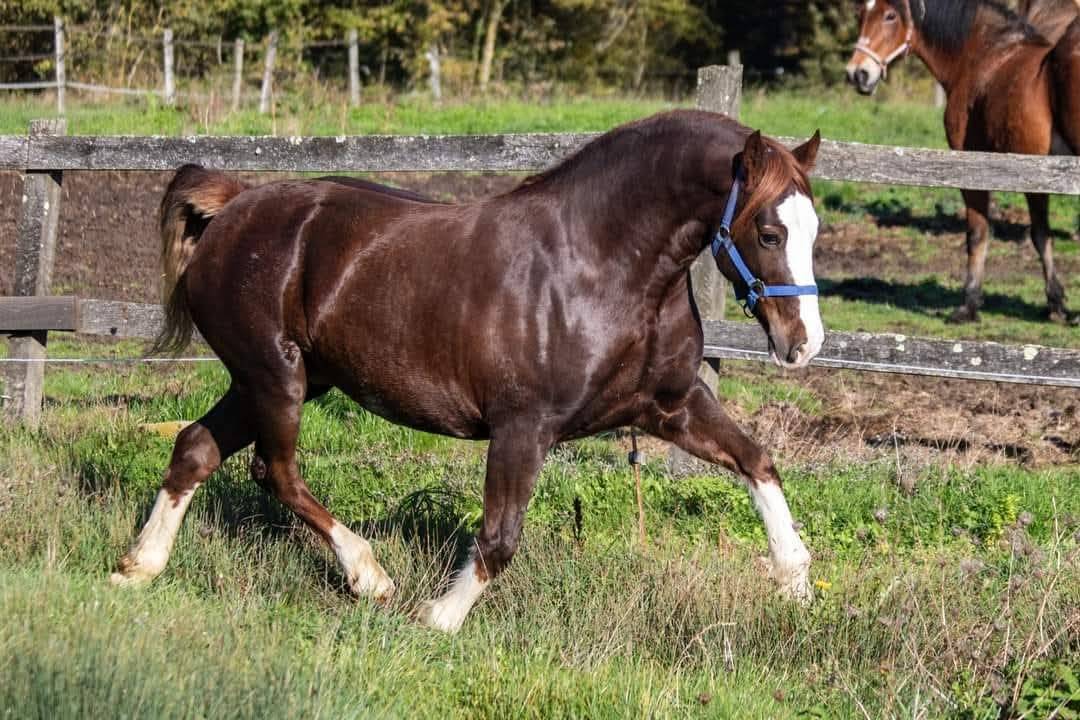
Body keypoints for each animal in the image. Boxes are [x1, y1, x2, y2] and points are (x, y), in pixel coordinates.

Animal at [110, 110, 824, 632]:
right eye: (768, 233)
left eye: (813, 229)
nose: (804, 344)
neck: (601, 266)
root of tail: (234, 205)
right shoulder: (523, 427)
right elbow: (500, 539)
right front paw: (438, 618)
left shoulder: (671, 406)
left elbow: (758, 461)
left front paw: (796, 583)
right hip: (275, 377)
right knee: (273, 470)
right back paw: (370, 577)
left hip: (277, 380)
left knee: (195, 448)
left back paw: (137, 567)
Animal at [845, 0, 1080, 324]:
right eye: (860, 15)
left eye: (890, 15)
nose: (857, 73)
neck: (986, 56)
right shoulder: (1037, 177)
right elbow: (1042, 235)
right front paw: (1057, 304)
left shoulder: (973, 169)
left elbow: (978, 234)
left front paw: (968, 305)